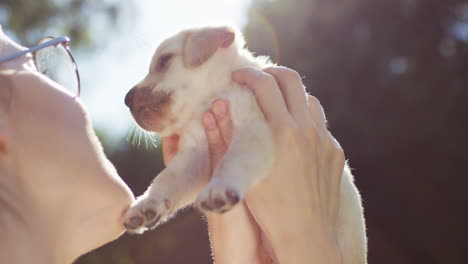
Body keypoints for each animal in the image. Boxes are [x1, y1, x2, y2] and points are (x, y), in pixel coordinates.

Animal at [121, 25, 366, 262]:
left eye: (164, 60)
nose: (126, 99)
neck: (210, 100)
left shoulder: (253, 131)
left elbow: (231, 161)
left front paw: (219, 189)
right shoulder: (195, 156)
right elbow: (166, 179)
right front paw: (146, 204)